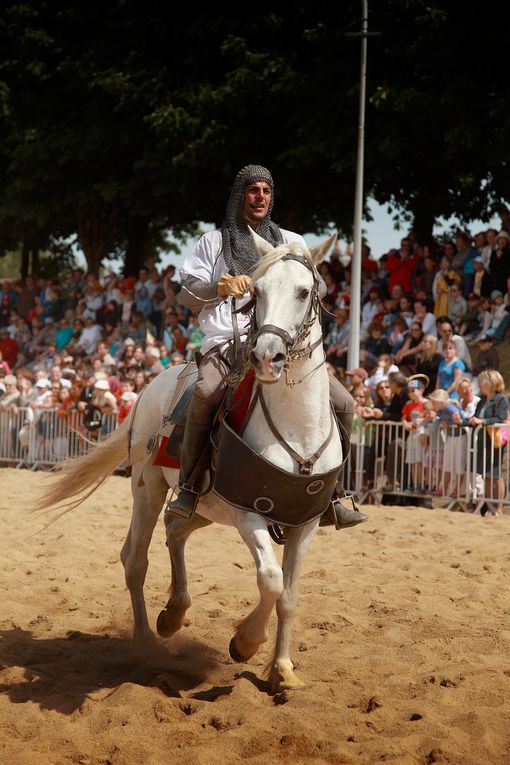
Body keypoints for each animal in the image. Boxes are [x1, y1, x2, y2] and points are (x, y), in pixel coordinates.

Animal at [38, 231, 342, 692]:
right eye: (256, 293)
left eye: (304, 292)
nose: (266, 357)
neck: (297, 431)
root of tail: (149, 387)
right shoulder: (249, 513)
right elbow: (270, 581)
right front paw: (245, 643)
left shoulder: (305, 522)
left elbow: (289, 597)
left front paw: (283, 671)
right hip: (149, 487)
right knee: (136, 558)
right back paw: (147, 641)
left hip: (203, 504)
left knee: (175, 527)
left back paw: (173, 613)